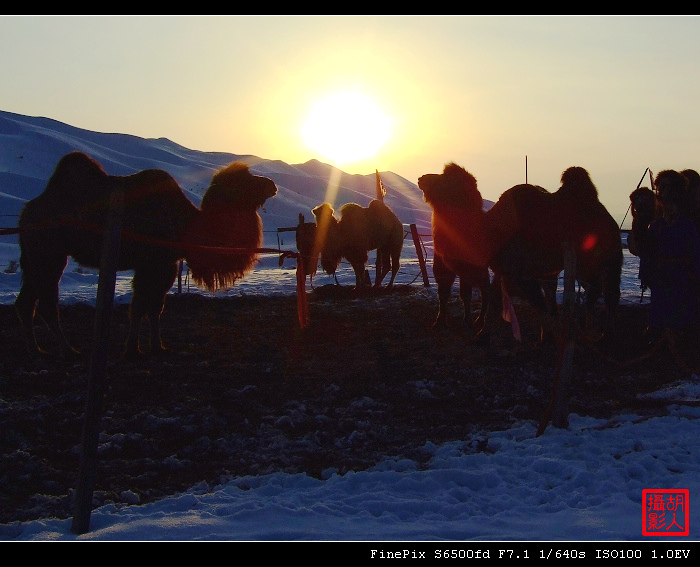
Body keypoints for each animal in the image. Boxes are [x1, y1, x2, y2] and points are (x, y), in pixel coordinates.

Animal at [15, 151, 278, 360]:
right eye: (245, 182)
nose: (272, 184)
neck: (186, 225)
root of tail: (26, 212)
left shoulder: (166, 264)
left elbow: (155, 307)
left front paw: (158, 347)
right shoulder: (150, 264)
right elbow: (140, 306)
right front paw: (133, 348)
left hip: (36, 258)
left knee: (26, 302)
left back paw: (35, 350)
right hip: (49, 255)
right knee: (46, 303)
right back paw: (67, 350)